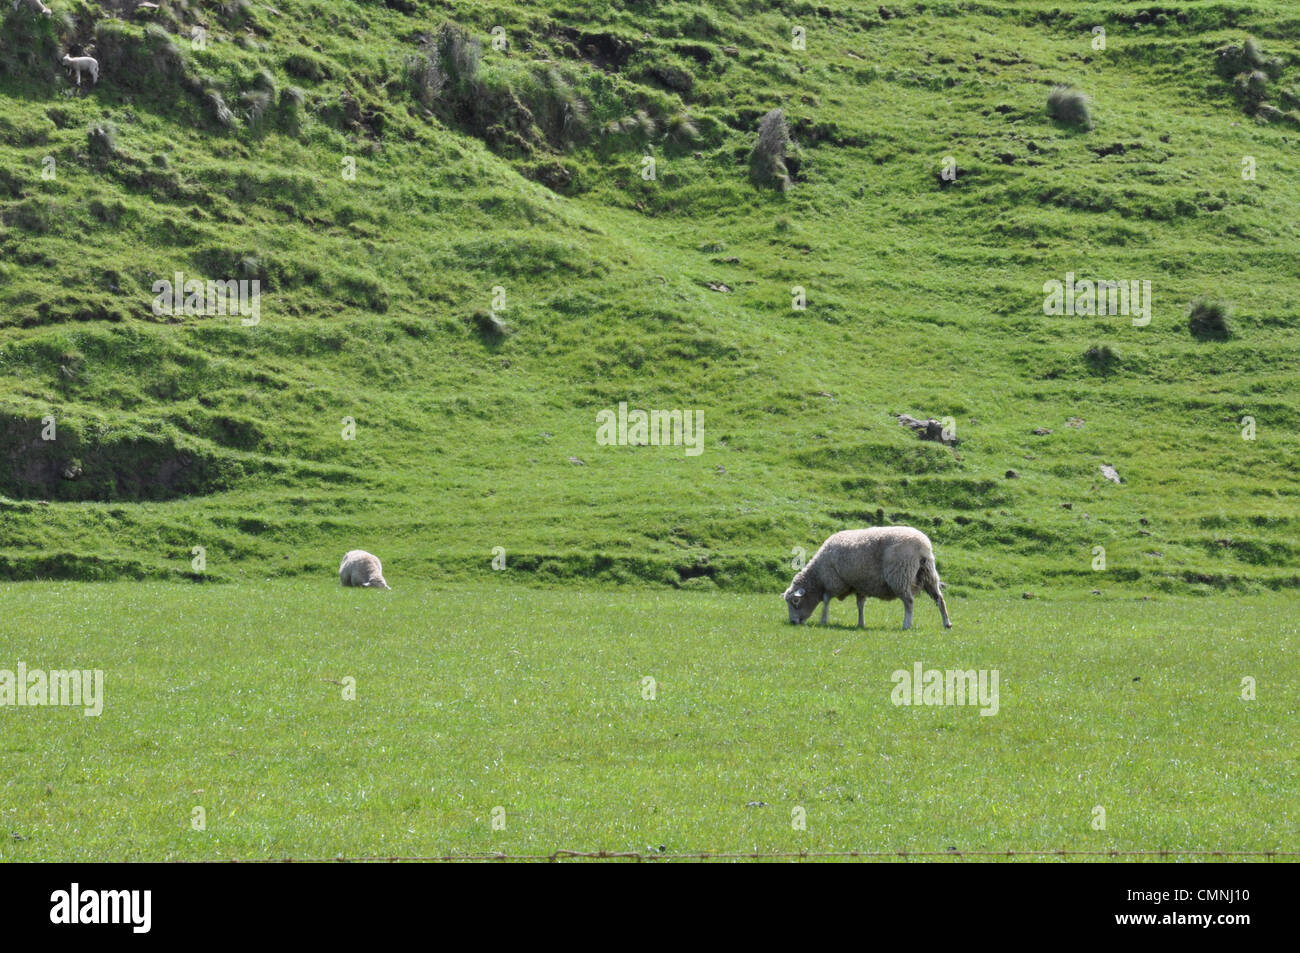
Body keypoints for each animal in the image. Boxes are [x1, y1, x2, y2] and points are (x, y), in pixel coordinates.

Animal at [780, 525, 956, 629]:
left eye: (795, 601)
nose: (793, 622)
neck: (817, 576)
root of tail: (923, 546)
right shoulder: (860, 585)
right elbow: (860, 605)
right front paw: (861, 624)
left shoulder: (833, 581)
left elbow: (826, 600)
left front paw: (823, 620)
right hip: (929, 574)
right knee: (939, 599)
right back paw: (946, 623)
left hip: (900, 575)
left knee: (909, 602)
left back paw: (906, 624)